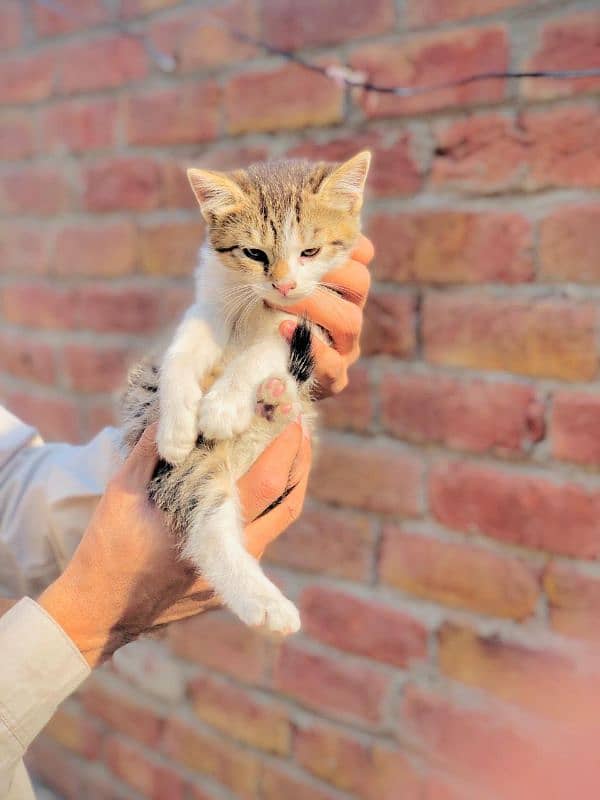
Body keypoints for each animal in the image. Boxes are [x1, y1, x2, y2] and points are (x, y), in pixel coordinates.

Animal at [122, 153, 370, 636]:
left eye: (309, 252)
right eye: (254, 253)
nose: (285, 285)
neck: (257, 306)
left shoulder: (314, 325)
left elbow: (264, 349)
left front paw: (222, 404)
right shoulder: (212, 304)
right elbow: (183, 349)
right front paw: (176, 422)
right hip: (188, 463)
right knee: (209, 522)